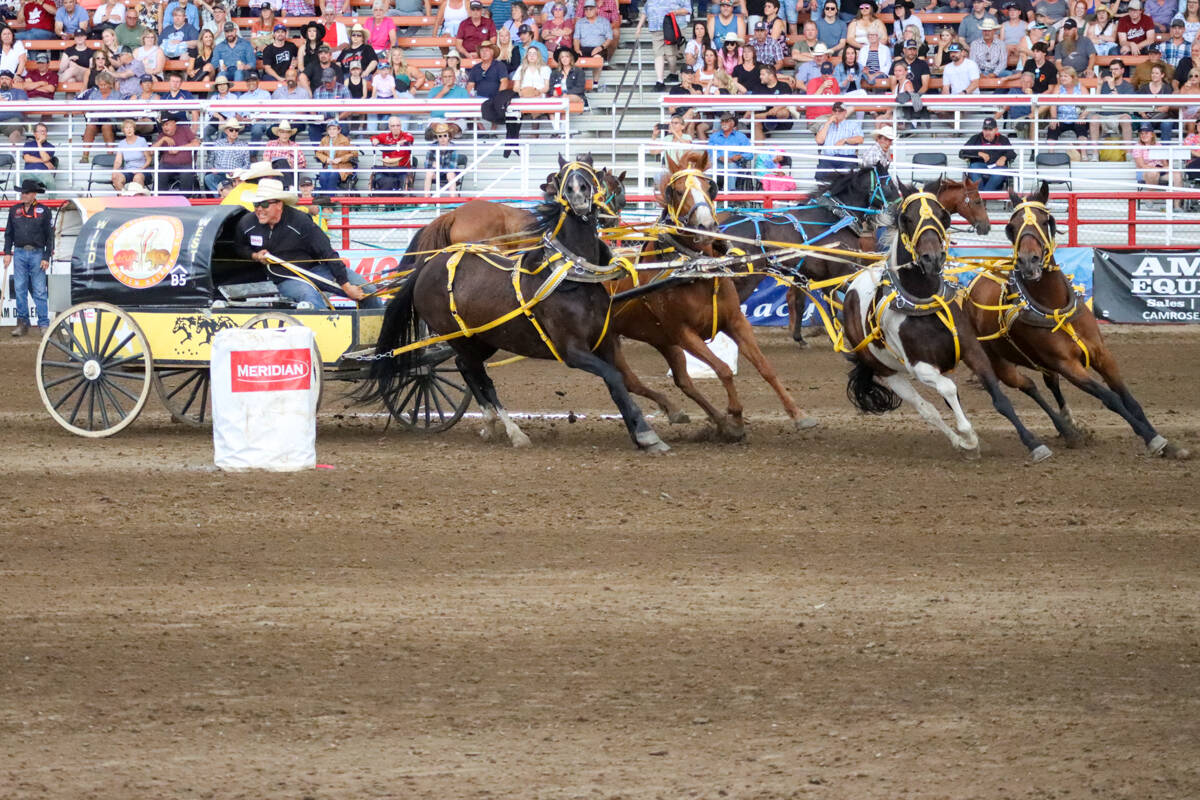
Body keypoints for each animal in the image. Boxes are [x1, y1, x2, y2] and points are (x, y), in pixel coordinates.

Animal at [360, 159, 672, 453]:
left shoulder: (603, 341)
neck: (572, 275)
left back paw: (490, 423)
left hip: (484, 338)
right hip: (460, 337)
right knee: (476, 373)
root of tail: (425, 267)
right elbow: (614, 378)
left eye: (590, 173)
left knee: (465, 368)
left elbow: (619, 382)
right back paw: (513, 431)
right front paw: (646, 433)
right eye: (564, 177)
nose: (578, 192)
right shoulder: (572, 351)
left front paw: (642, 428)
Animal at [604, 148, 820, 438]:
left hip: (659, 340)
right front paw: (736, 417)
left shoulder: (735, 321)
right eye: (677, 191)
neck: (696, 269)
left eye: (710, 187)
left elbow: (765, 367)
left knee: (677, 381)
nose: (707, 226)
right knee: (630, 380)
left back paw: (697, 415)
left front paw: (798, 414)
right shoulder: (684, 334)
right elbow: (723, 369)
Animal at [840, 179, 1056, 462]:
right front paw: (968, 436)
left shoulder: (971, 349)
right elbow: (949, 389)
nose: (932, 258)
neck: (922, 301)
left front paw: (1034, 443)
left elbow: (999, 399)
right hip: (889, 373)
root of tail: (852, 291)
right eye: (907, 218)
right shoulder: (920, 367)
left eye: (941, 215)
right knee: (928, 410)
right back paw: (962, 441)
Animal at [964, 181, 1190, 455]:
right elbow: (1111, 398)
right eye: (1012, 227)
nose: (1029, 261)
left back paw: (1068, 426)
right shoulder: (1068, 365)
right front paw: (1151, 438)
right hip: (999, 362)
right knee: (1027, 386)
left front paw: (1167, 443)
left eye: (1046, 220)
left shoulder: (1102, 354)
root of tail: (972, 284)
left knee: (1045, 384)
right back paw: (1061, 433)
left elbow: (1128, 398)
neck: (1055, 307)